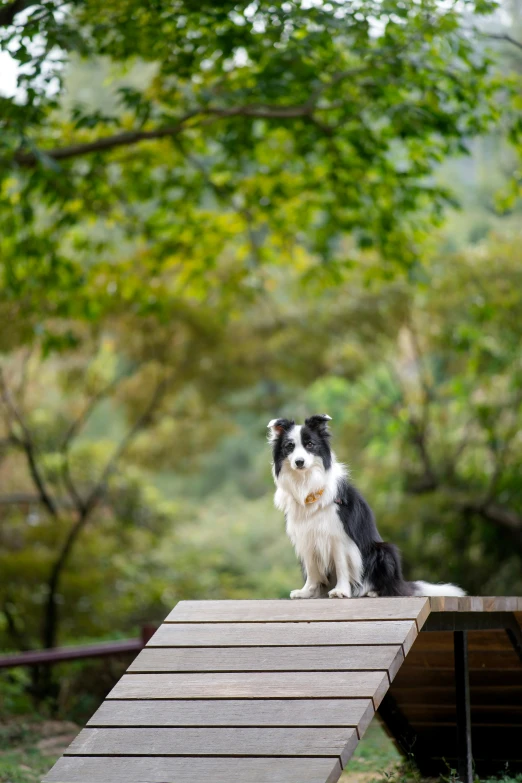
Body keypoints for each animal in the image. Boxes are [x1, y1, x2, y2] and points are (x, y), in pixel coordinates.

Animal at [268, 414, 464, 596]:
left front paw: (341, 591)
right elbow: (312, 570)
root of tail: (400, 582)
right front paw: (307, 592)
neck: (306, 483)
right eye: (289, 446)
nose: (299, 462)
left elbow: (341, 565)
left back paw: (373, 591)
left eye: (310, 444)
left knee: (388, 586)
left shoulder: (338, 536)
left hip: (384, 550)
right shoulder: (306, 537)